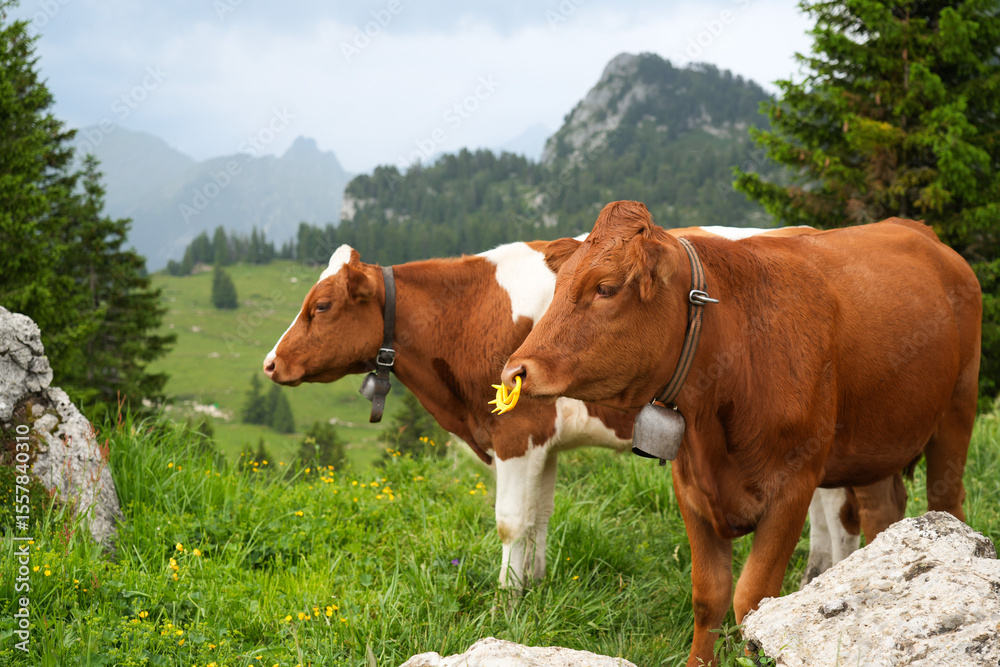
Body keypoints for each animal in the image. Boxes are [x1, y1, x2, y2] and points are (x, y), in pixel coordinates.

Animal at [263, 226, 891, 593]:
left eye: (321, 306)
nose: (270, 363)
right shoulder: (542, 441)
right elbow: (539, 517)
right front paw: (534, 587)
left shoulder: (515, 432)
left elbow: (510, 520)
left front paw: (506, 601)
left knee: (836, 509)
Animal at [500, 201, 981, 666]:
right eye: (558, 288)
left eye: (606, 287)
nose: (514, 371)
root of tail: (918, 229)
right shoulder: (690, 488)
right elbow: (708, 597)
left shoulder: (792, 488)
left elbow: (752, 599)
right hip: (876, 443)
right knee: (883, 510)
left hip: (957, 410)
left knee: (946, 498)